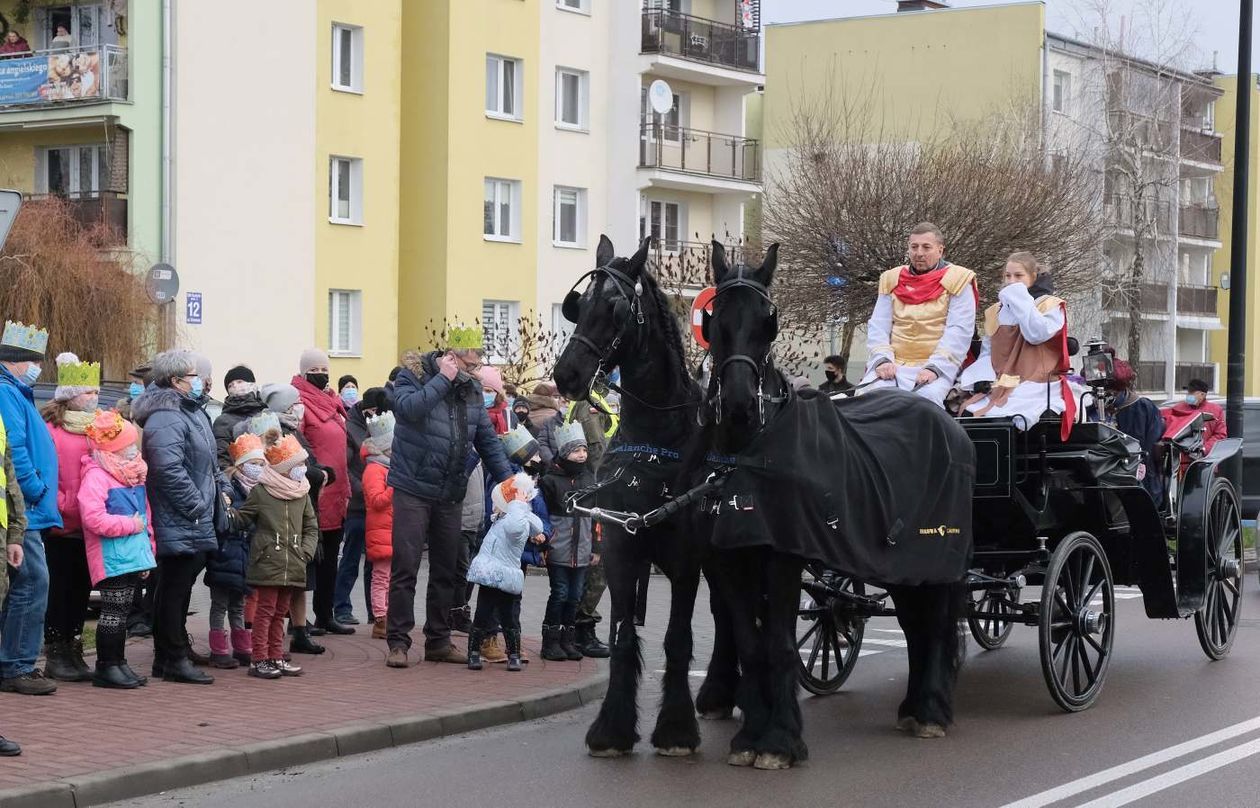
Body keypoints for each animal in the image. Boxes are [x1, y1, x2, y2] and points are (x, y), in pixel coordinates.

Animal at [551, 233, 735, 756]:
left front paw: (675, 729)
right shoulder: (619, 545)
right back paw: (719, 694)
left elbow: (677, 639)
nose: (567, 375)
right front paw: (612, 728)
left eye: (615, 309)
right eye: (579, 305)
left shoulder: (685, 559)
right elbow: (621, 636)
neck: (655, 445)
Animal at [705, 240, 967, 766]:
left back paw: (931, 710)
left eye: (768, 319)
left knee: (936, 624)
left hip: (938, 560)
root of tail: (948, 419)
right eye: (715, 317)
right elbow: (749, 643)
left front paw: (779, 740)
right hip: (901, 561)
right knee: (914, 624)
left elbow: (780, 645)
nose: (740, 403)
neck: (753, 450)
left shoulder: (784, 556)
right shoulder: (730, 558)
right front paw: (750, 737)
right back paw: (913, 707)